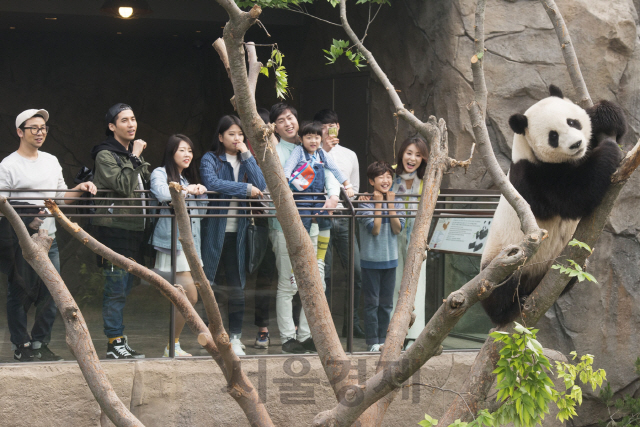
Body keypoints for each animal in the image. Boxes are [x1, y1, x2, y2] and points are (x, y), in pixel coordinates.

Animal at [480, 85, 624, 326]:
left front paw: (605, 116)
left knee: (576, 271)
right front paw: (609, 149)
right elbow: (574, 195)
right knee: (501, 284)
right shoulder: (531, 178)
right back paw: (509, 309)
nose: (576, 144)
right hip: (505, 259)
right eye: (553, 136)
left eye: (572, 122)